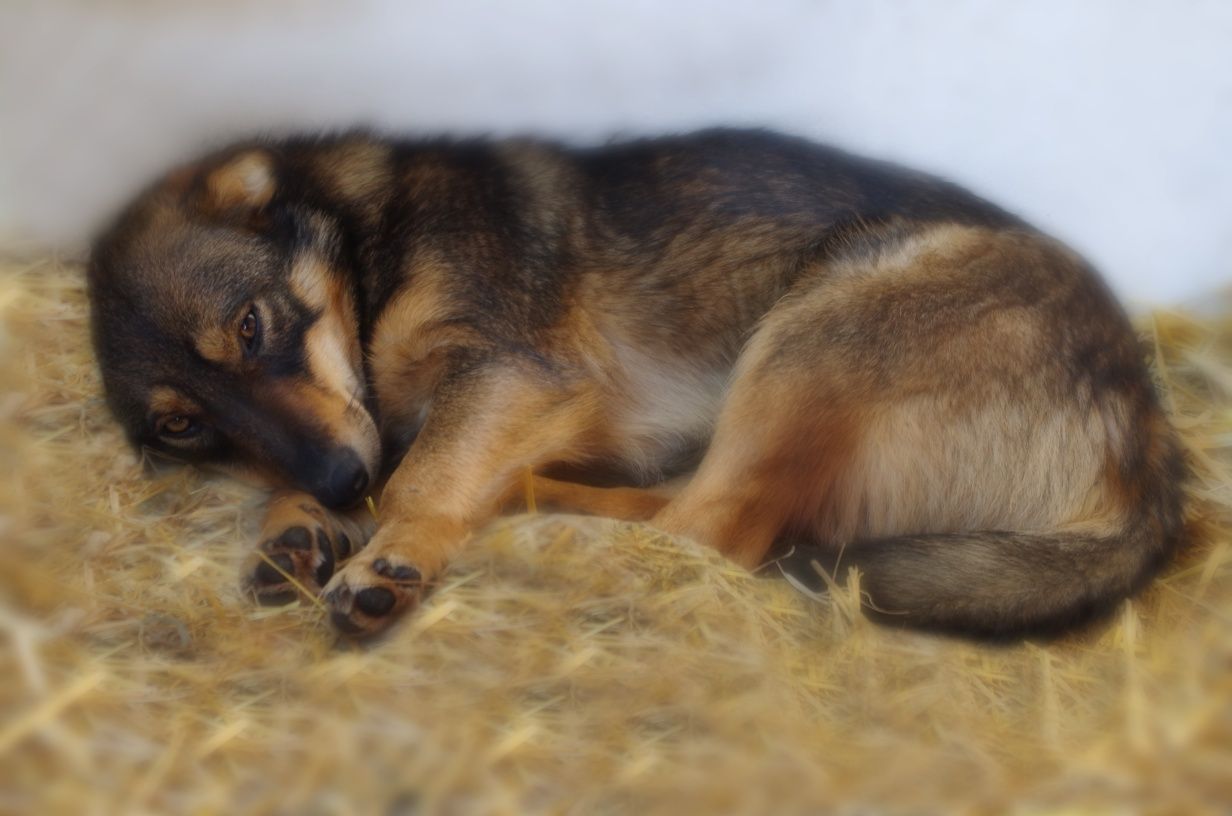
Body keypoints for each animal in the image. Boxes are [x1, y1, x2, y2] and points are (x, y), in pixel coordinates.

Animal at [86, 129, 1182, 640]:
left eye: (252, 327)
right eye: (184, 427)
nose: (336, 485)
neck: (369, 238)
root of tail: (1149, 457)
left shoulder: (509, 377)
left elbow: (417, 475)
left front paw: (389, 545)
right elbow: (381, 460)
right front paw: (297, 524)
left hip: (822, 324)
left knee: (716, 532)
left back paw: (534, 532)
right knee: (685, 510)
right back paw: (520, 503)